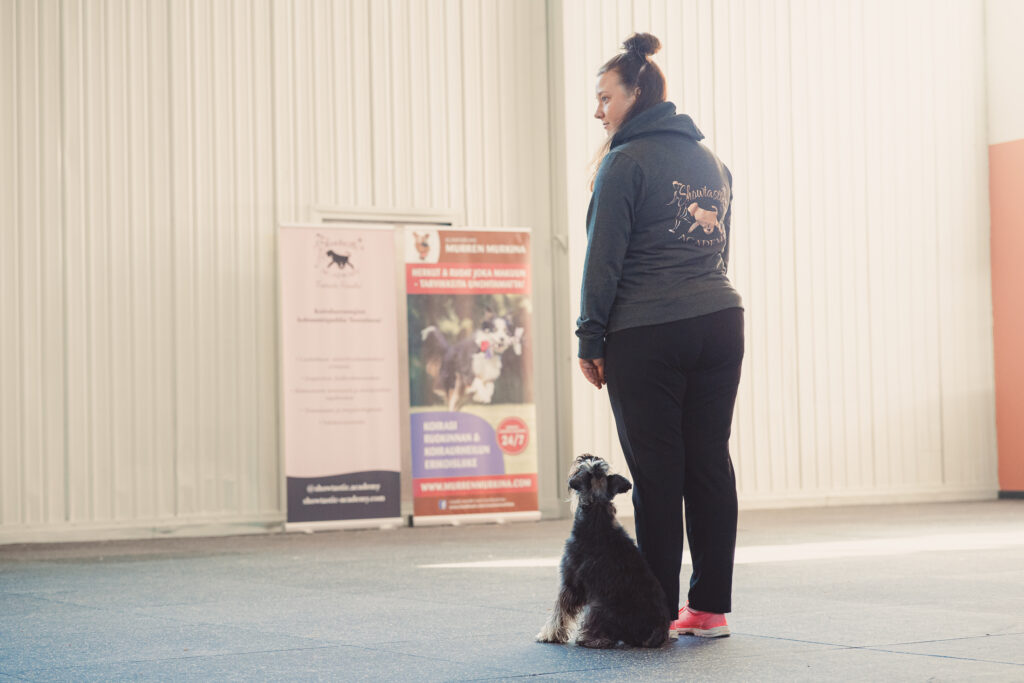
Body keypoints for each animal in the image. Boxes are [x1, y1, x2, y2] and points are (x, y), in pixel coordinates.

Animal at [536, 454, 670, 649]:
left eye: (583, 467)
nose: (582, 457)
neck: (596, 506)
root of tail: (658, 631)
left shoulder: (570, 582)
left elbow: (559, 612)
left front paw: (548, 635)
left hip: (597, 606)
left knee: (603, 636)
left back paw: (587, 639)